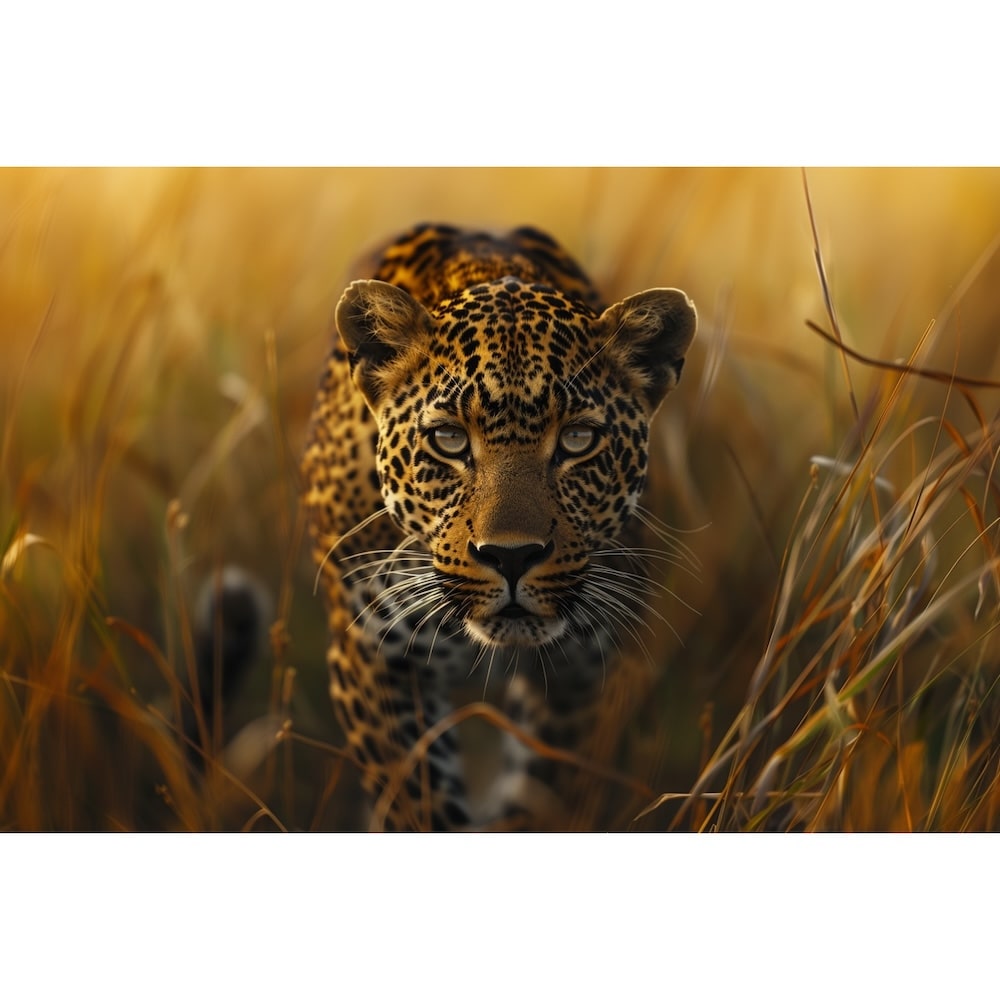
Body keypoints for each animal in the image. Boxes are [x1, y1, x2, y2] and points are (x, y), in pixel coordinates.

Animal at [302, 222, 697, 831]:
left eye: (578, 439)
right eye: (448, 439)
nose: (512, 556)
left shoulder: (583, 671)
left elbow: (545, 796)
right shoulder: (375, 657)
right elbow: (419, 805)